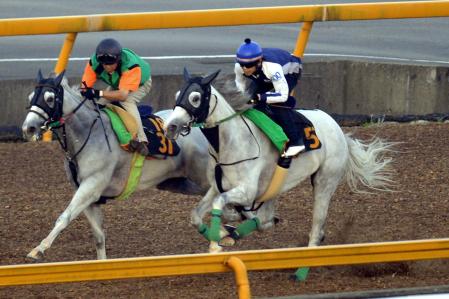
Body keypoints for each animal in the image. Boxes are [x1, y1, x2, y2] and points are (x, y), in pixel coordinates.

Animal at [21, 71, 210, 262]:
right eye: (30, 97)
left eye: (50, 98)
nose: (28, 128)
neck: (89, 133)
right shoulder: (87, 194)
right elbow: (99, 236)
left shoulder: (91, 186)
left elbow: (64, 217)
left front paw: (38, 250)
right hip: (179, 182)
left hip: (200, 176)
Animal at [164, 69, 396, 256]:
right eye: (176, 95)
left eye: (195, 98)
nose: (170, 127)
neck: (232, 140)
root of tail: (338, 129)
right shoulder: (217, 186)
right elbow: (196, 214)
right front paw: (223, 232)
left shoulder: (247, 190)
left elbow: (219, 203)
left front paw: (218, 240)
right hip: (277, 186)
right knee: (265, 220)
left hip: (325, 181)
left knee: (316, 225)